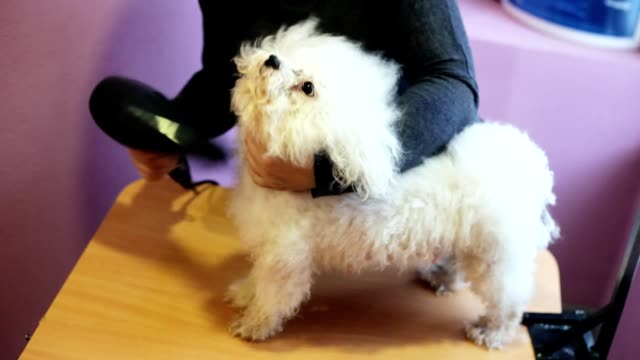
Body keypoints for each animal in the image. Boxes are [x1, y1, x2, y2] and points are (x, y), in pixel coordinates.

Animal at [224, 18, 560, 350]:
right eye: (292, 58)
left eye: (307, 88)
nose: (273, 59)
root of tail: (535, 167)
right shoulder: (266, 246)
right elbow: (256, 279)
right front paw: (243, 293)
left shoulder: (285, 256)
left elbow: (272, 296)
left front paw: (254, 324)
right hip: (469, 241)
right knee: (460, 267)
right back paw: (441, 279)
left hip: (496, 255)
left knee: (509, 301)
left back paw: (491, 332)